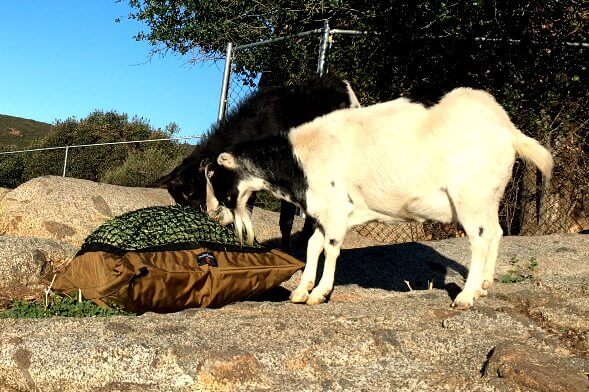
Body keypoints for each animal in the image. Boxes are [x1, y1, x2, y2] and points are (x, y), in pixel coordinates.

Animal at [206, 88, 552, 310]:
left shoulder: (336, 207)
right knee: (496, 233)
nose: (213, 215)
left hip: (468, 197)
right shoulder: (322, 211)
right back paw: (484, 286)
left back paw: (465, 297)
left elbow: (330, 248)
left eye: (215, 178)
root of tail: (506, 130)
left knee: (480, 240)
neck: (298, 157)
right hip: (488, 198)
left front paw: (320, 293)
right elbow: (313, 246)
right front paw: (302, 291)